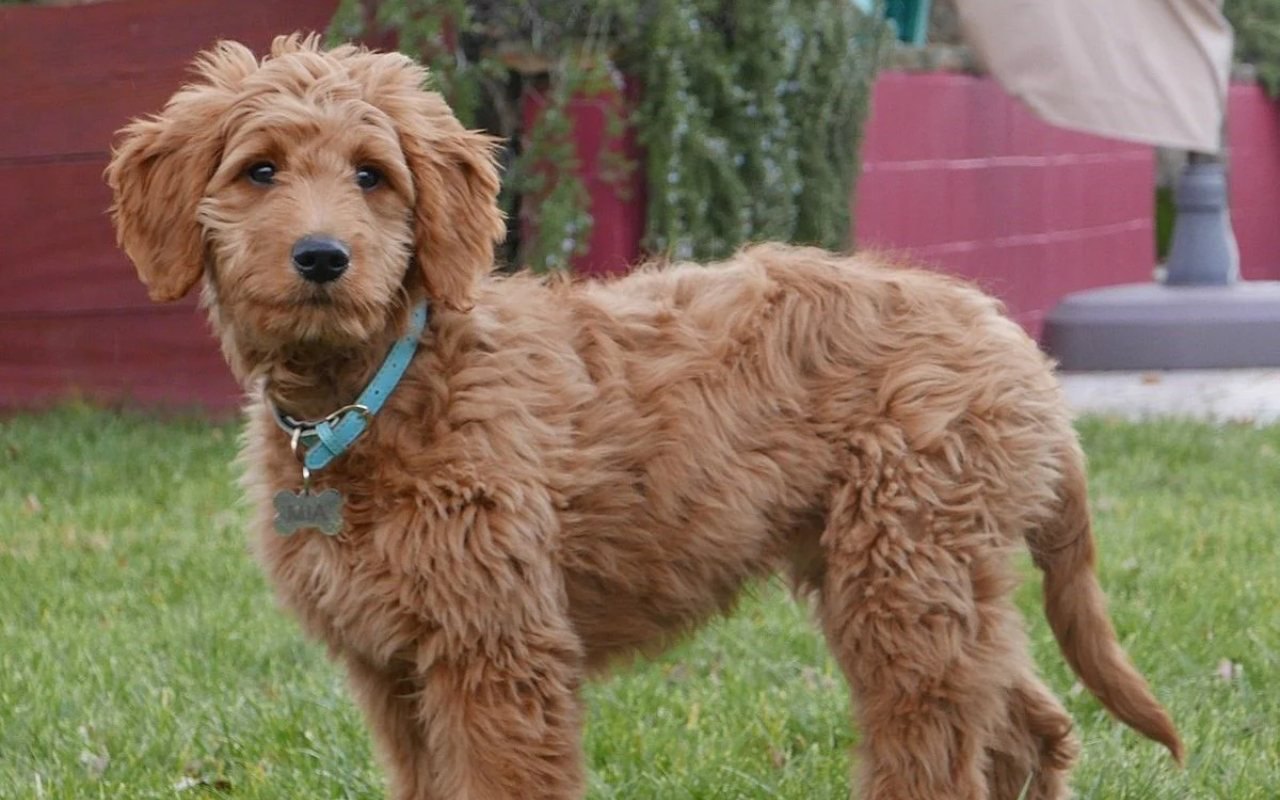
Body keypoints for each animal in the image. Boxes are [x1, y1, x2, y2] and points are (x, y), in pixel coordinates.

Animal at [107, 34, 1177, 798]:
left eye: (373, 173)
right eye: (259, 170)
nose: (323, 258)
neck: (376, 394)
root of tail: (1012, 342)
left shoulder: (498, 653)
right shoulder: (395, 673)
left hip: (906, 584)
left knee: (943, 753)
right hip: (924, 586)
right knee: (1029, 730)